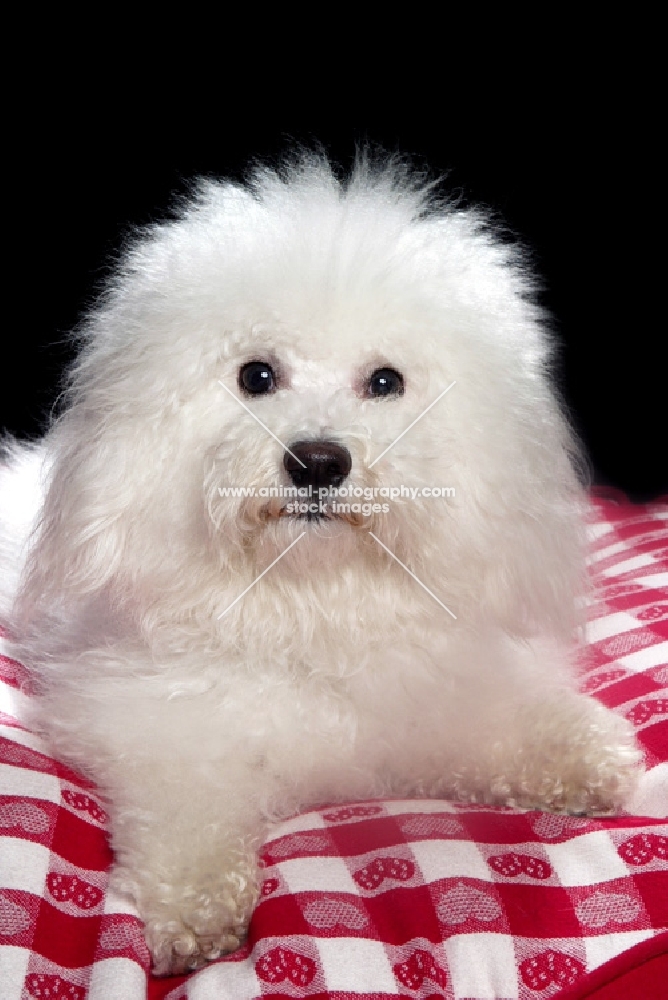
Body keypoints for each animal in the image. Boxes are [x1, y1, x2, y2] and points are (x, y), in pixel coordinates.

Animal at [0, 152, 640, 972]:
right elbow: (184, 815)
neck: (314, 598)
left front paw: (587, 756)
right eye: (257, 375)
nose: (316, 461)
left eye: (385, 381)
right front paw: (199, 909)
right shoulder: (157, 732)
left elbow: (510, 723)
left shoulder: (447, 694)